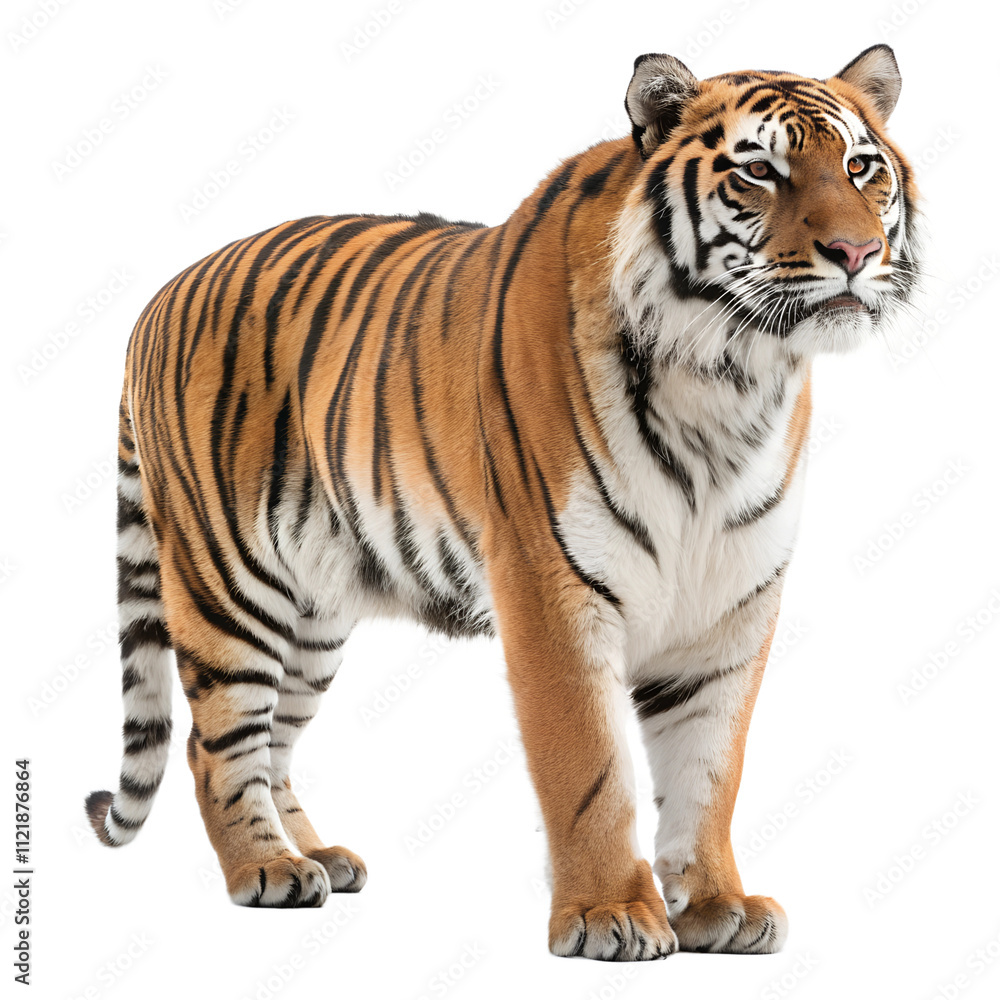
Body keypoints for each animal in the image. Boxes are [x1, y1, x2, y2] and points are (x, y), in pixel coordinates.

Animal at [84, 44, 919, 960]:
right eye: (760, 171)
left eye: (861, 167)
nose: (856, 250)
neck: (730, 379)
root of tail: (158, 296)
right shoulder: (551, 586)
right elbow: (589, 765)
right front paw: (609, 914)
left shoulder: (731, 605)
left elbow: (710, 768)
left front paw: (716, 905)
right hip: (229, 582)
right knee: (215, 744)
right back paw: (265, 869)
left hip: (313, 612)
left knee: (274, 743)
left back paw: (316, 856)